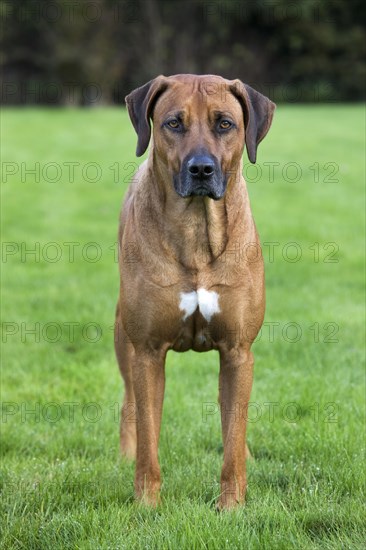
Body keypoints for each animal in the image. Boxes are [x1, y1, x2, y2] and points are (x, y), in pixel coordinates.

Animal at [114, 74, 274, 512]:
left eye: (225, 124)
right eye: (173, 123)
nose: (201, 168)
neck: (197, 232)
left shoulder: (238, 351)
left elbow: (232, 435)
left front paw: (231, 506)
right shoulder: (147, 351)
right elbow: (149, 436)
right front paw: (147, 505)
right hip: (121, 334)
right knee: (130, 403)